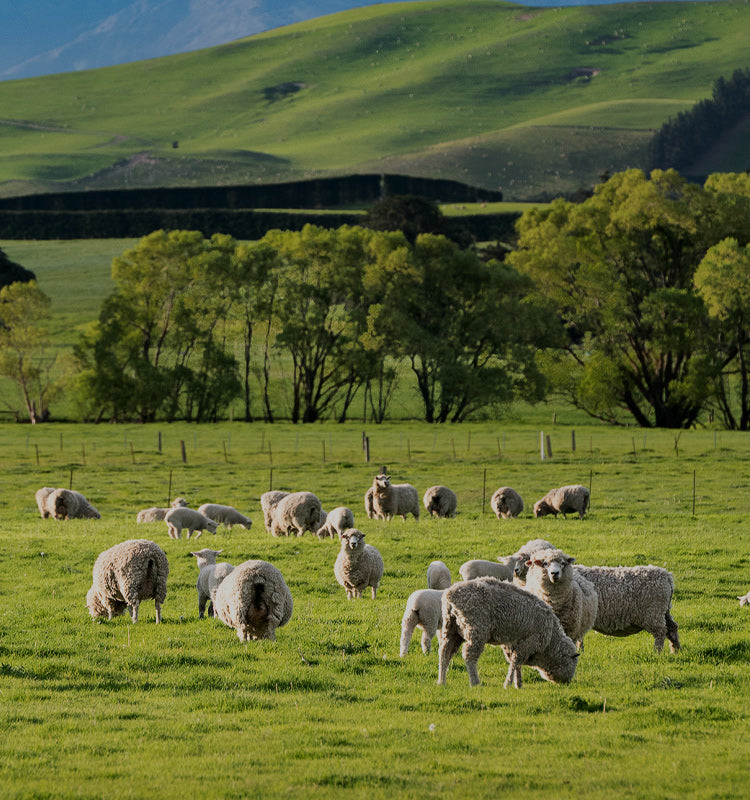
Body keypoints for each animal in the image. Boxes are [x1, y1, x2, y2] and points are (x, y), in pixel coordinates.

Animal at [437, 577, 579, 688]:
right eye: (572, 663)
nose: (567, 682)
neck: (550, 641)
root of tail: (450, 594)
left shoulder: (512, 643)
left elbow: (515, 662)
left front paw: (518, 683)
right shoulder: (528, 643)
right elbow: (516, 661)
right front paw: (509, 683)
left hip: (451, 628)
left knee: (445, 652)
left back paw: (441, 681)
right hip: (476, 629)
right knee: (469, 655)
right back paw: (475, 682)